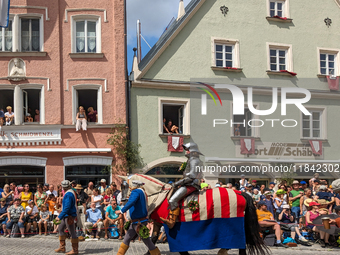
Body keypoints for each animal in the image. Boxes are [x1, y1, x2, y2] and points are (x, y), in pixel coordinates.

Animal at [119, 174, 268, 255]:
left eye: (124, 186)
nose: (122, 201)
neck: (159, 196)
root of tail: (240, 192)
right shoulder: (157, 222)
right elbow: (154, 238)